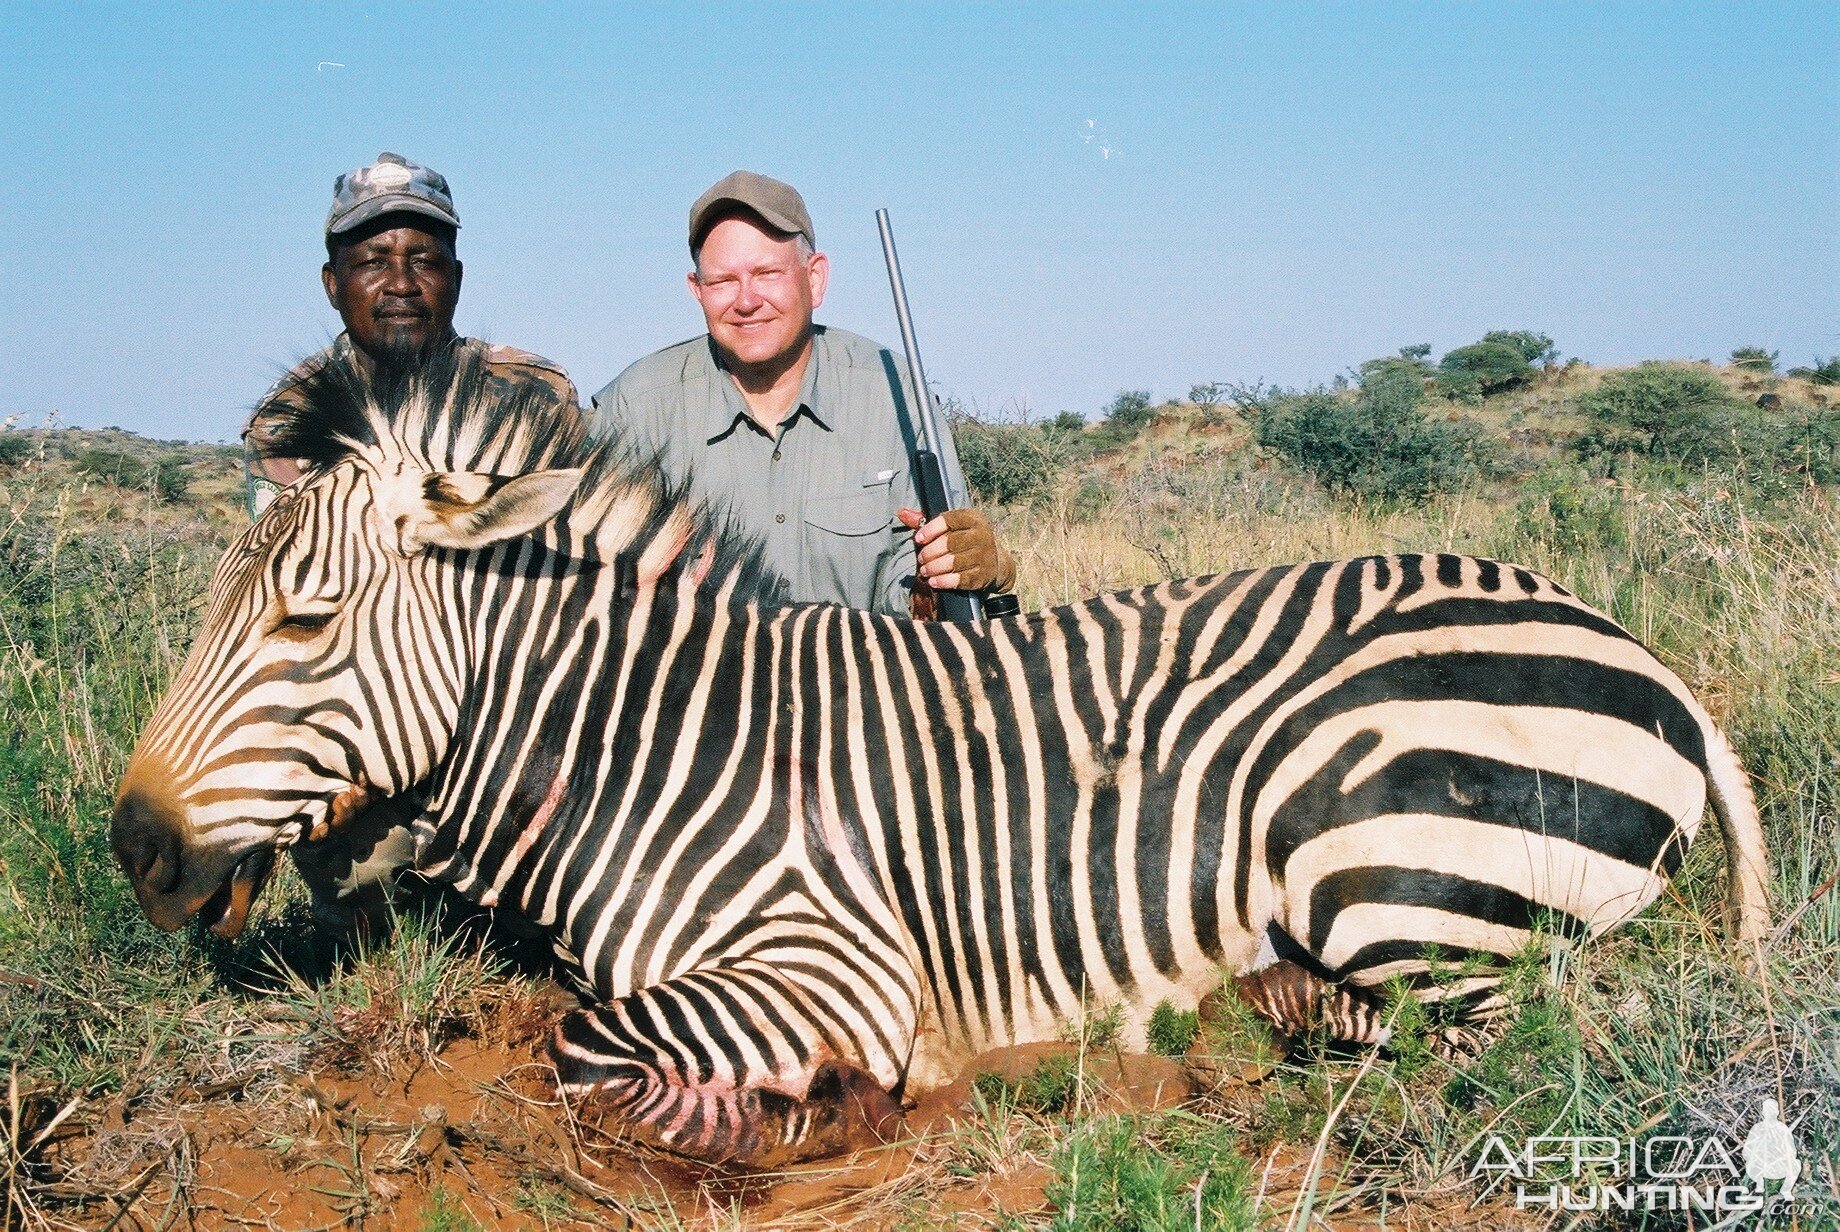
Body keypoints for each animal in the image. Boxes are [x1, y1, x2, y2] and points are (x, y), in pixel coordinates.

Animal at [111, 354, 1766, 1169]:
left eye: (304, 618)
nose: (135, 847)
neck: (644, 747)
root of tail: (1637, 651)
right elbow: (571, 1036)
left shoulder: (832, 963)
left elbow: (587, 1058)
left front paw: (810, 1118)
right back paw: (1241, 1013)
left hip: (1381, 854)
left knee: (1520, 1040)